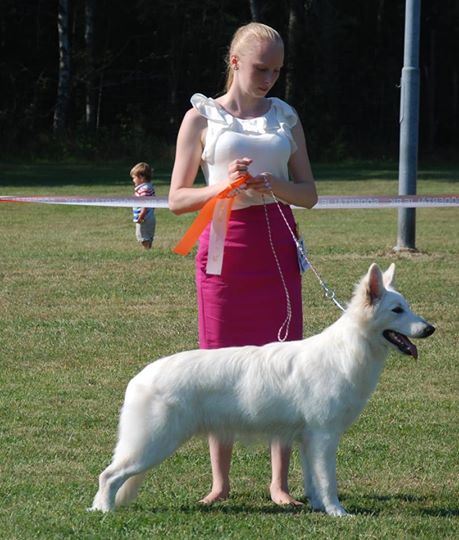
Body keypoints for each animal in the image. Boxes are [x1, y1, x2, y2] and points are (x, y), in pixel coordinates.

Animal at [90, 264, 434, 516]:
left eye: (408, 307)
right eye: (397, 310)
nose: (430, 329)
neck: (347, 350)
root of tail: (139, 377)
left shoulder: (308, 441)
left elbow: (313, 481)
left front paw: (318, 508)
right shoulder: (324, 437)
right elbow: (328, 481)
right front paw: (338, 513)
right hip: (155, 443)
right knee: (108, 475)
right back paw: (104, 511)